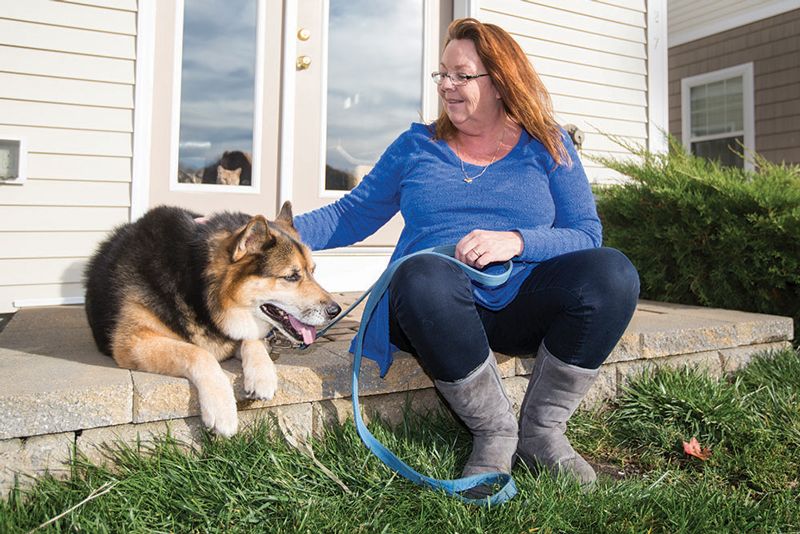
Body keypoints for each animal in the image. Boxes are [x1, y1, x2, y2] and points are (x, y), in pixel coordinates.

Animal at [85, 203, 340, 438]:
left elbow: (252, 339)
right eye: (292, 276)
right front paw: (222, 409)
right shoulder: (133, 342)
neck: (199, 288)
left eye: (312, 271)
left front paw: (262, 375)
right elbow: (199, 353)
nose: (335, 310)